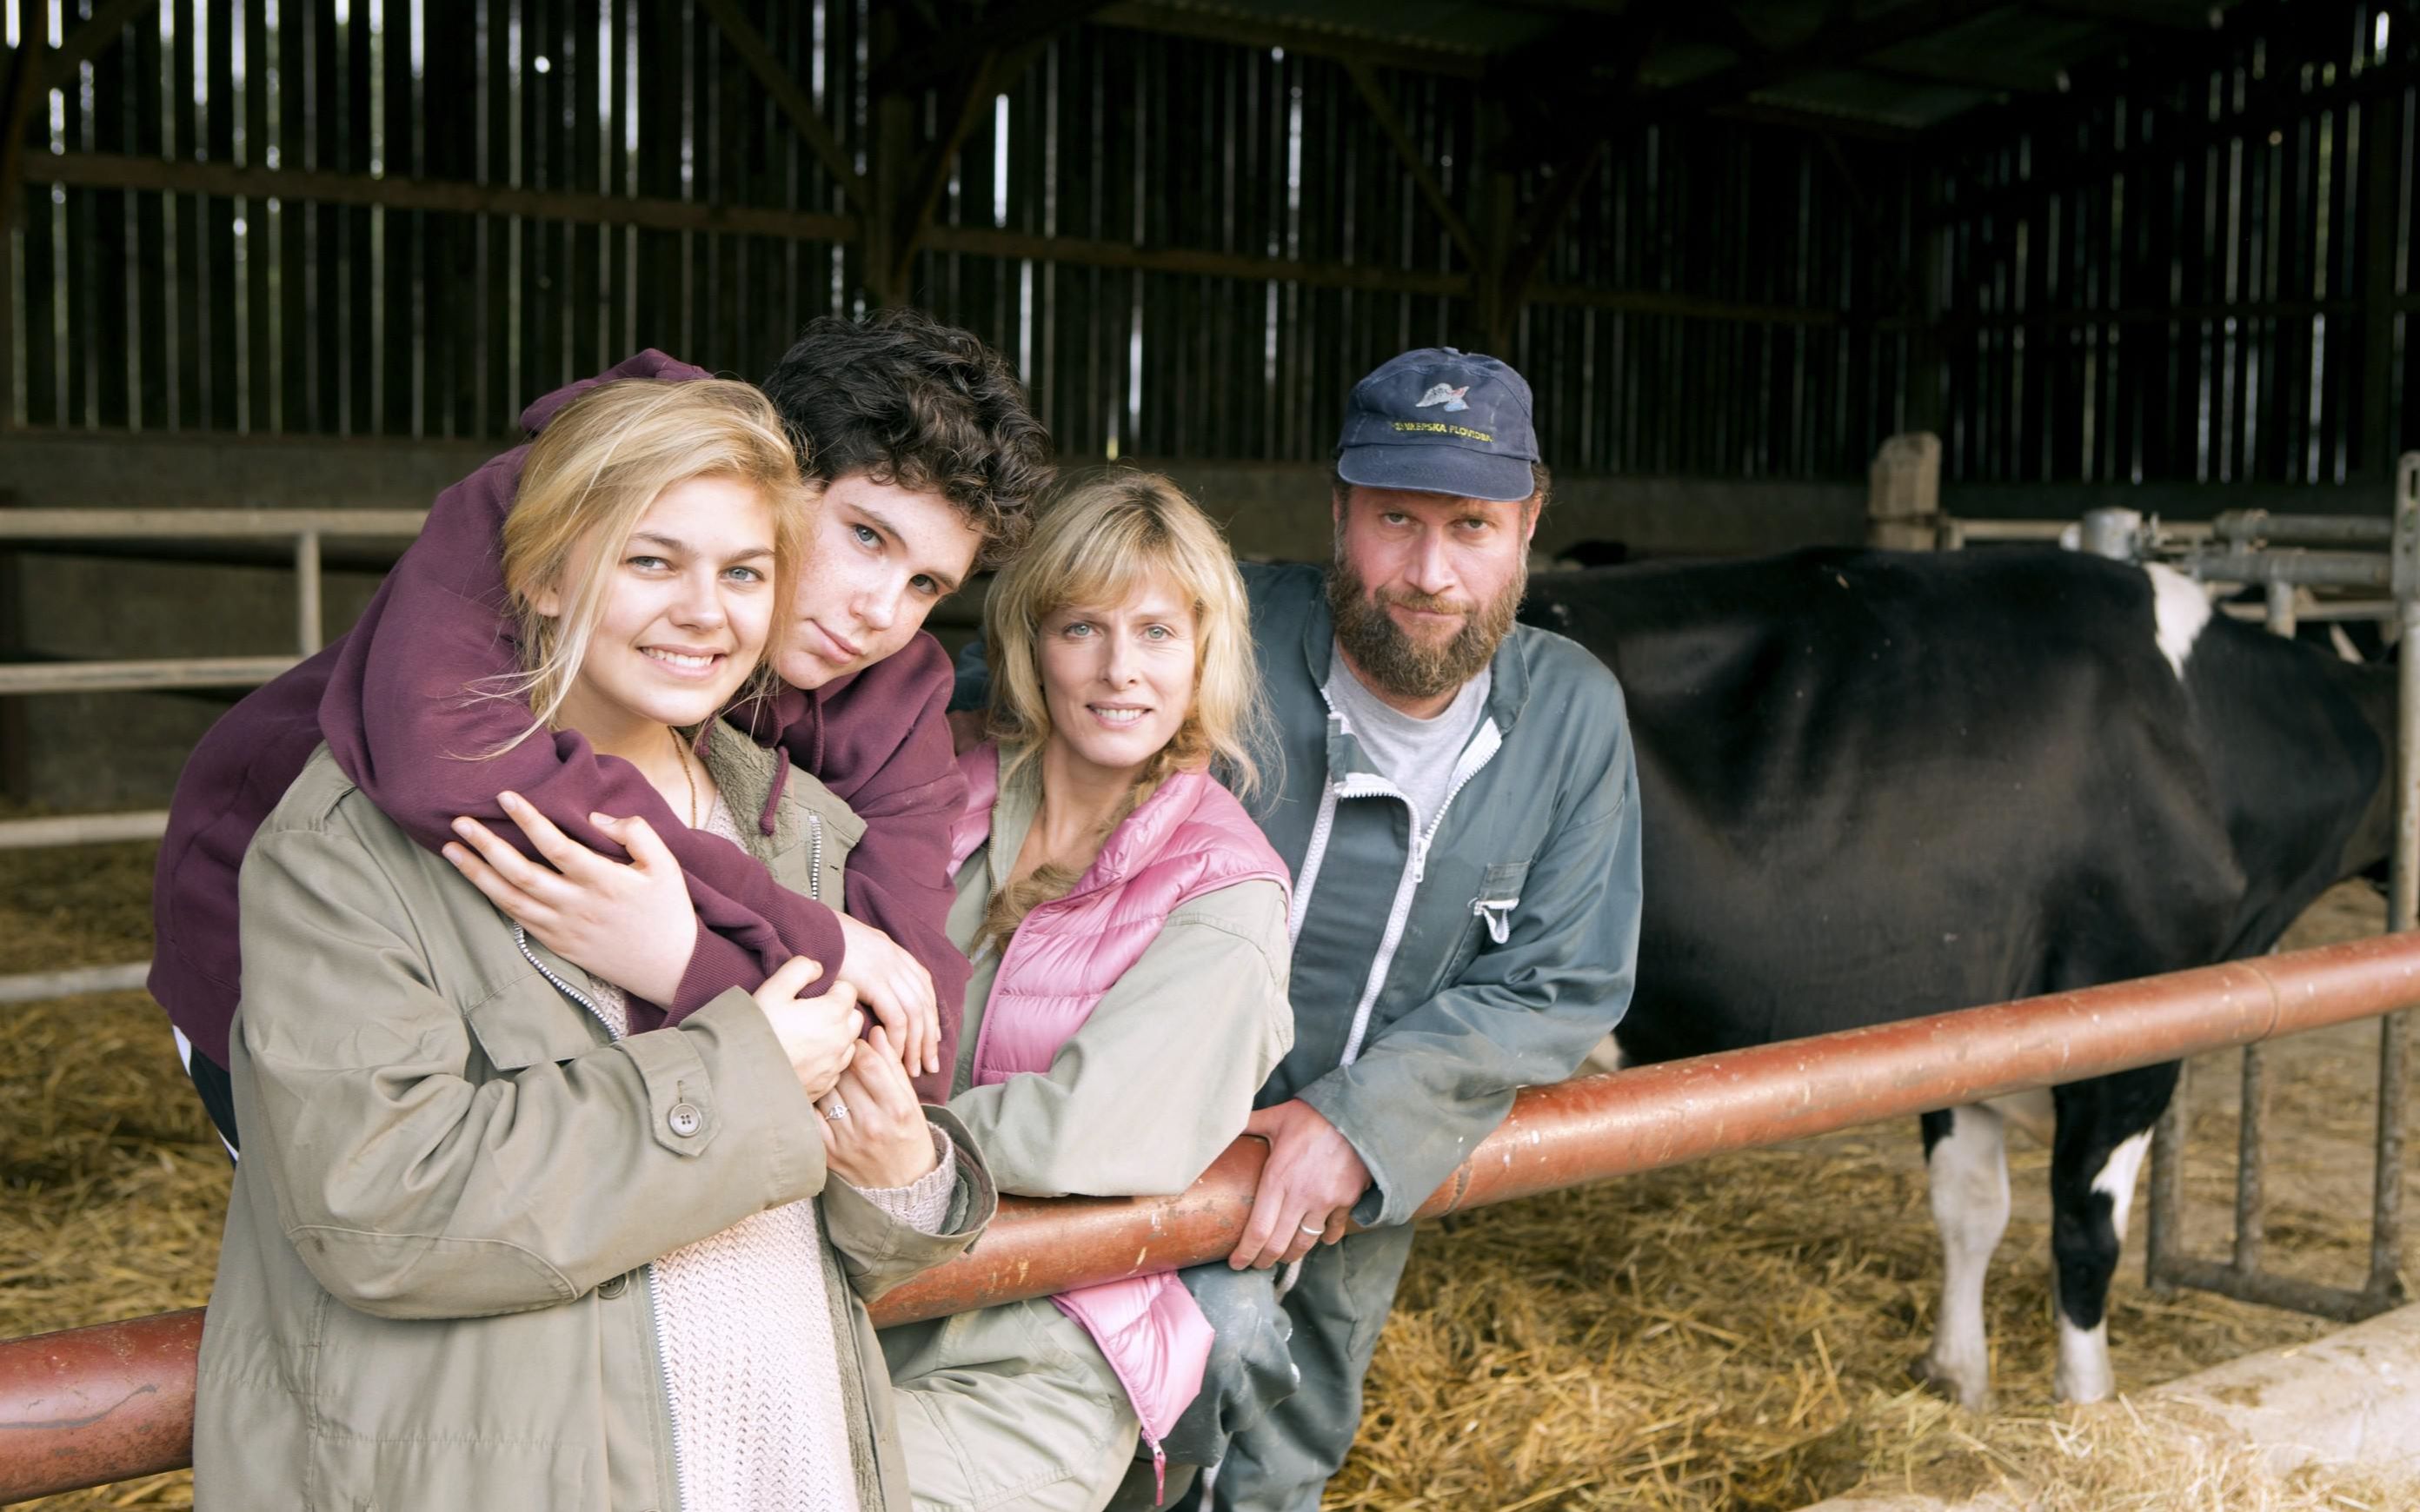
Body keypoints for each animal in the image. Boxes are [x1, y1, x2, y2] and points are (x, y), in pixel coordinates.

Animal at [1529, 548, 2400, 1412]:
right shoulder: (2131, 1025)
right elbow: (2086, 1232)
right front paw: (2086, 1404)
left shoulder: (1965, 1021)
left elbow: (1969, 1207)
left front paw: (1957, 1376)